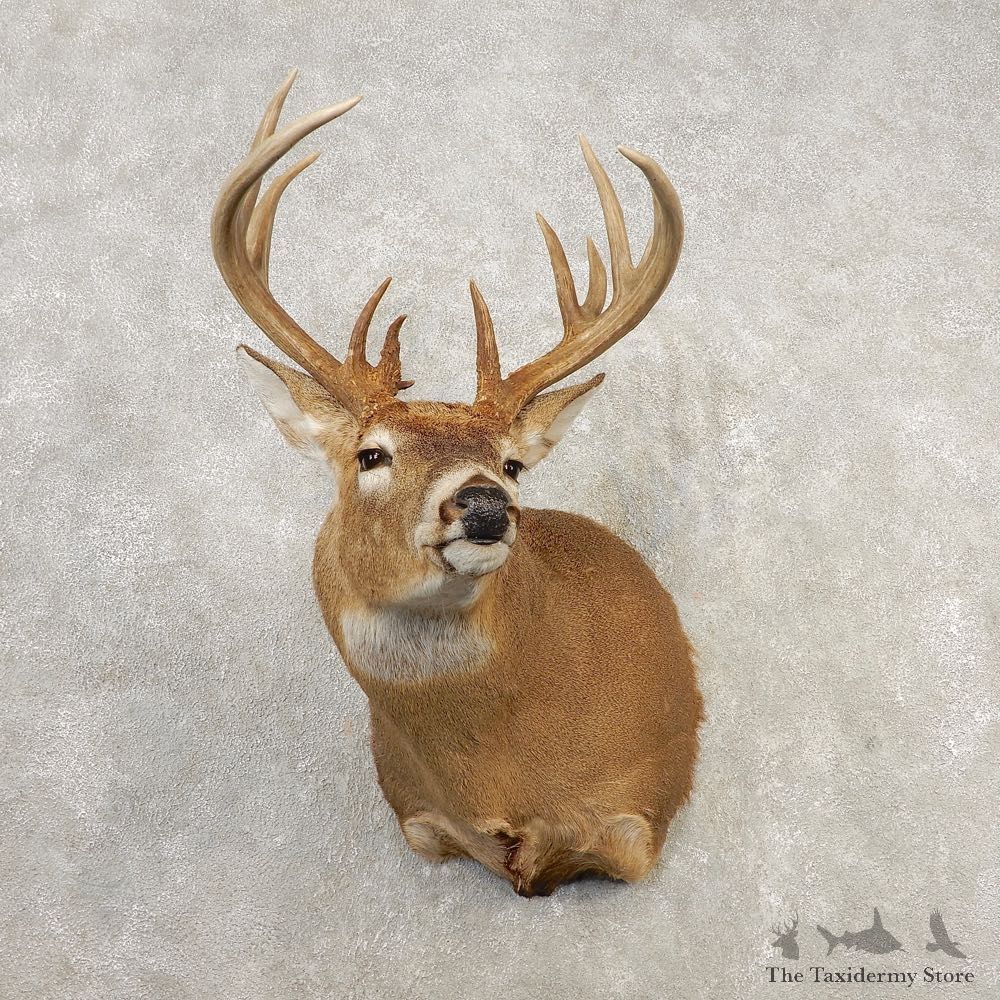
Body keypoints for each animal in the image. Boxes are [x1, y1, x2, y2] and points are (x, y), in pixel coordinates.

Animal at [211, 70, 702, 897]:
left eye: (512, 463)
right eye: (370, 455)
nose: (483, 505)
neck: (492, 781)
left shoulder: (637, 817)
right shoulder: (416, 820)